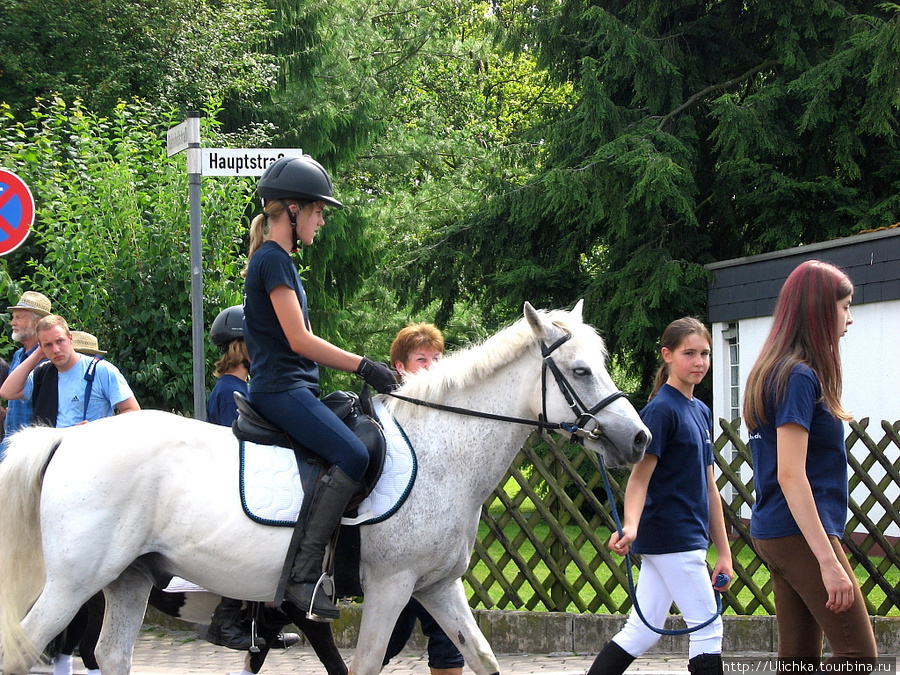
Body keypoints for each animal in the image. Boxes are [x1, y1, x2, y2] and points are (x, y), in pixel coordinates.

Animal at [0, 302, 652, 675]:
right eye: (581, 371)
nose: (640, 438)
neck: (442, 452)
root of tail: (67, 440)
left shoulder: (437, 587)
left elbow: (483, 658)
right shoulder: (391, 588)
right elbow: (363, 666)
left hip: (131, 578)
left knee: (111, 656)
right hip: (73, 583)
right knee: (24, 649)